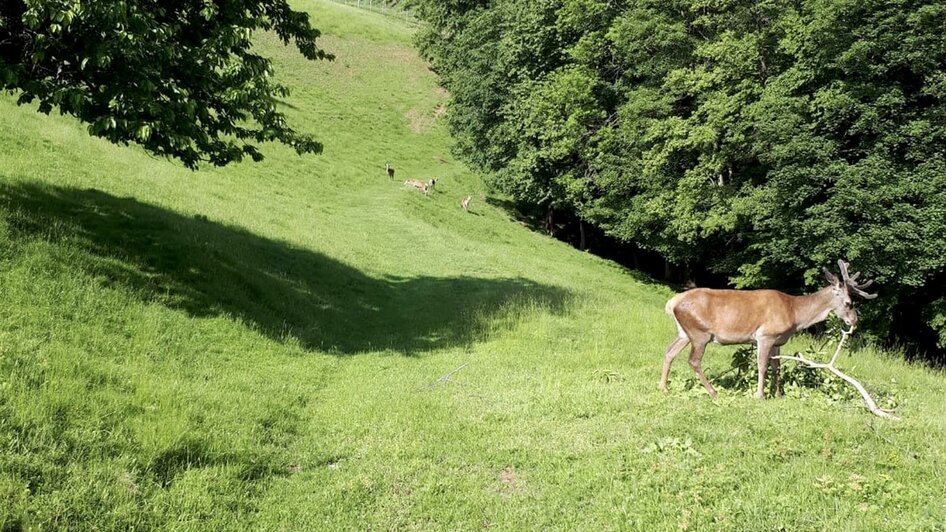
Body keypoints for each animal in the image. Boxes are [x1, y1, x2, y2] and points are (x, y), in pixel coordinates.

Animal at [660, 260, 872, 402]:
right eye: (849, 302)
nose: (855, 321)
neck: (794, 313)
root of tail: (672, 303)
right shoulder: (765, 335)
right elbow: (762, 366)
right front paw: (760, 394)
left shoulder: (777, 340)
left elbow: (776, 367)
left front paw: (777, 394)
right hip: (699, 333)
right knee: (693, 360)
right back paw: (713, 392)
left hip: (684, 332)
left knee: (669, 351)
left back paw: (663, 387)